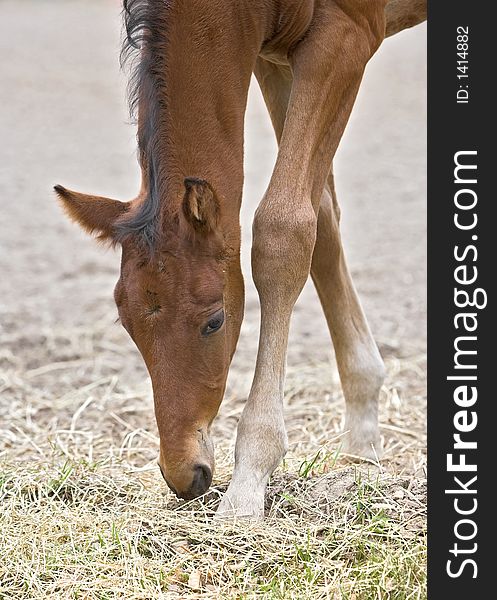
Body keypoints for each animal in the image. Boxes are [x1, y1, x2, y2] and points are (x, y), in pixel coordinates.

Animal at [56, 0, 424, 516]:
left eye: (215, 321)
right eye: (127, 325)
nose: (184, 474)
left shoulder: (345, 38)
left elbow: (283, 229)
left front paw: (249, 480)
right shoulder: (274, 58)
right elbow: (320, 217)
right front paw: (363, 440)